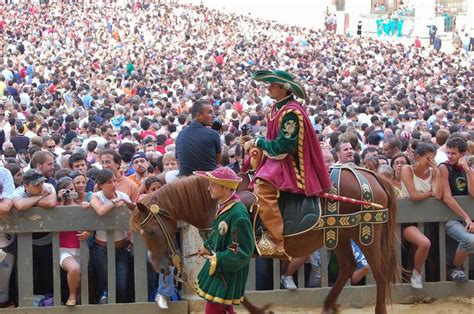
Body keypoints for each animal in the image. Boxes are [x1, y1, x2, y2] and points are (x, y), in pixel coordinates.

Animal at [131, 169, 400, 314]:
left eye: (151, 232)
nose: (161, 268)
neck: (215, 202)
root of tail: (372, 177)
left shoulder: (235, 252)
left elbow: (235, 291)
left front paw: (260, 309)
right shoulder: (227, 255)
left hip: (366, 234)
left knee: (380, 272)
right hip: (342, 233)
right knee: (347, 267)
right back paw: (328, 304)